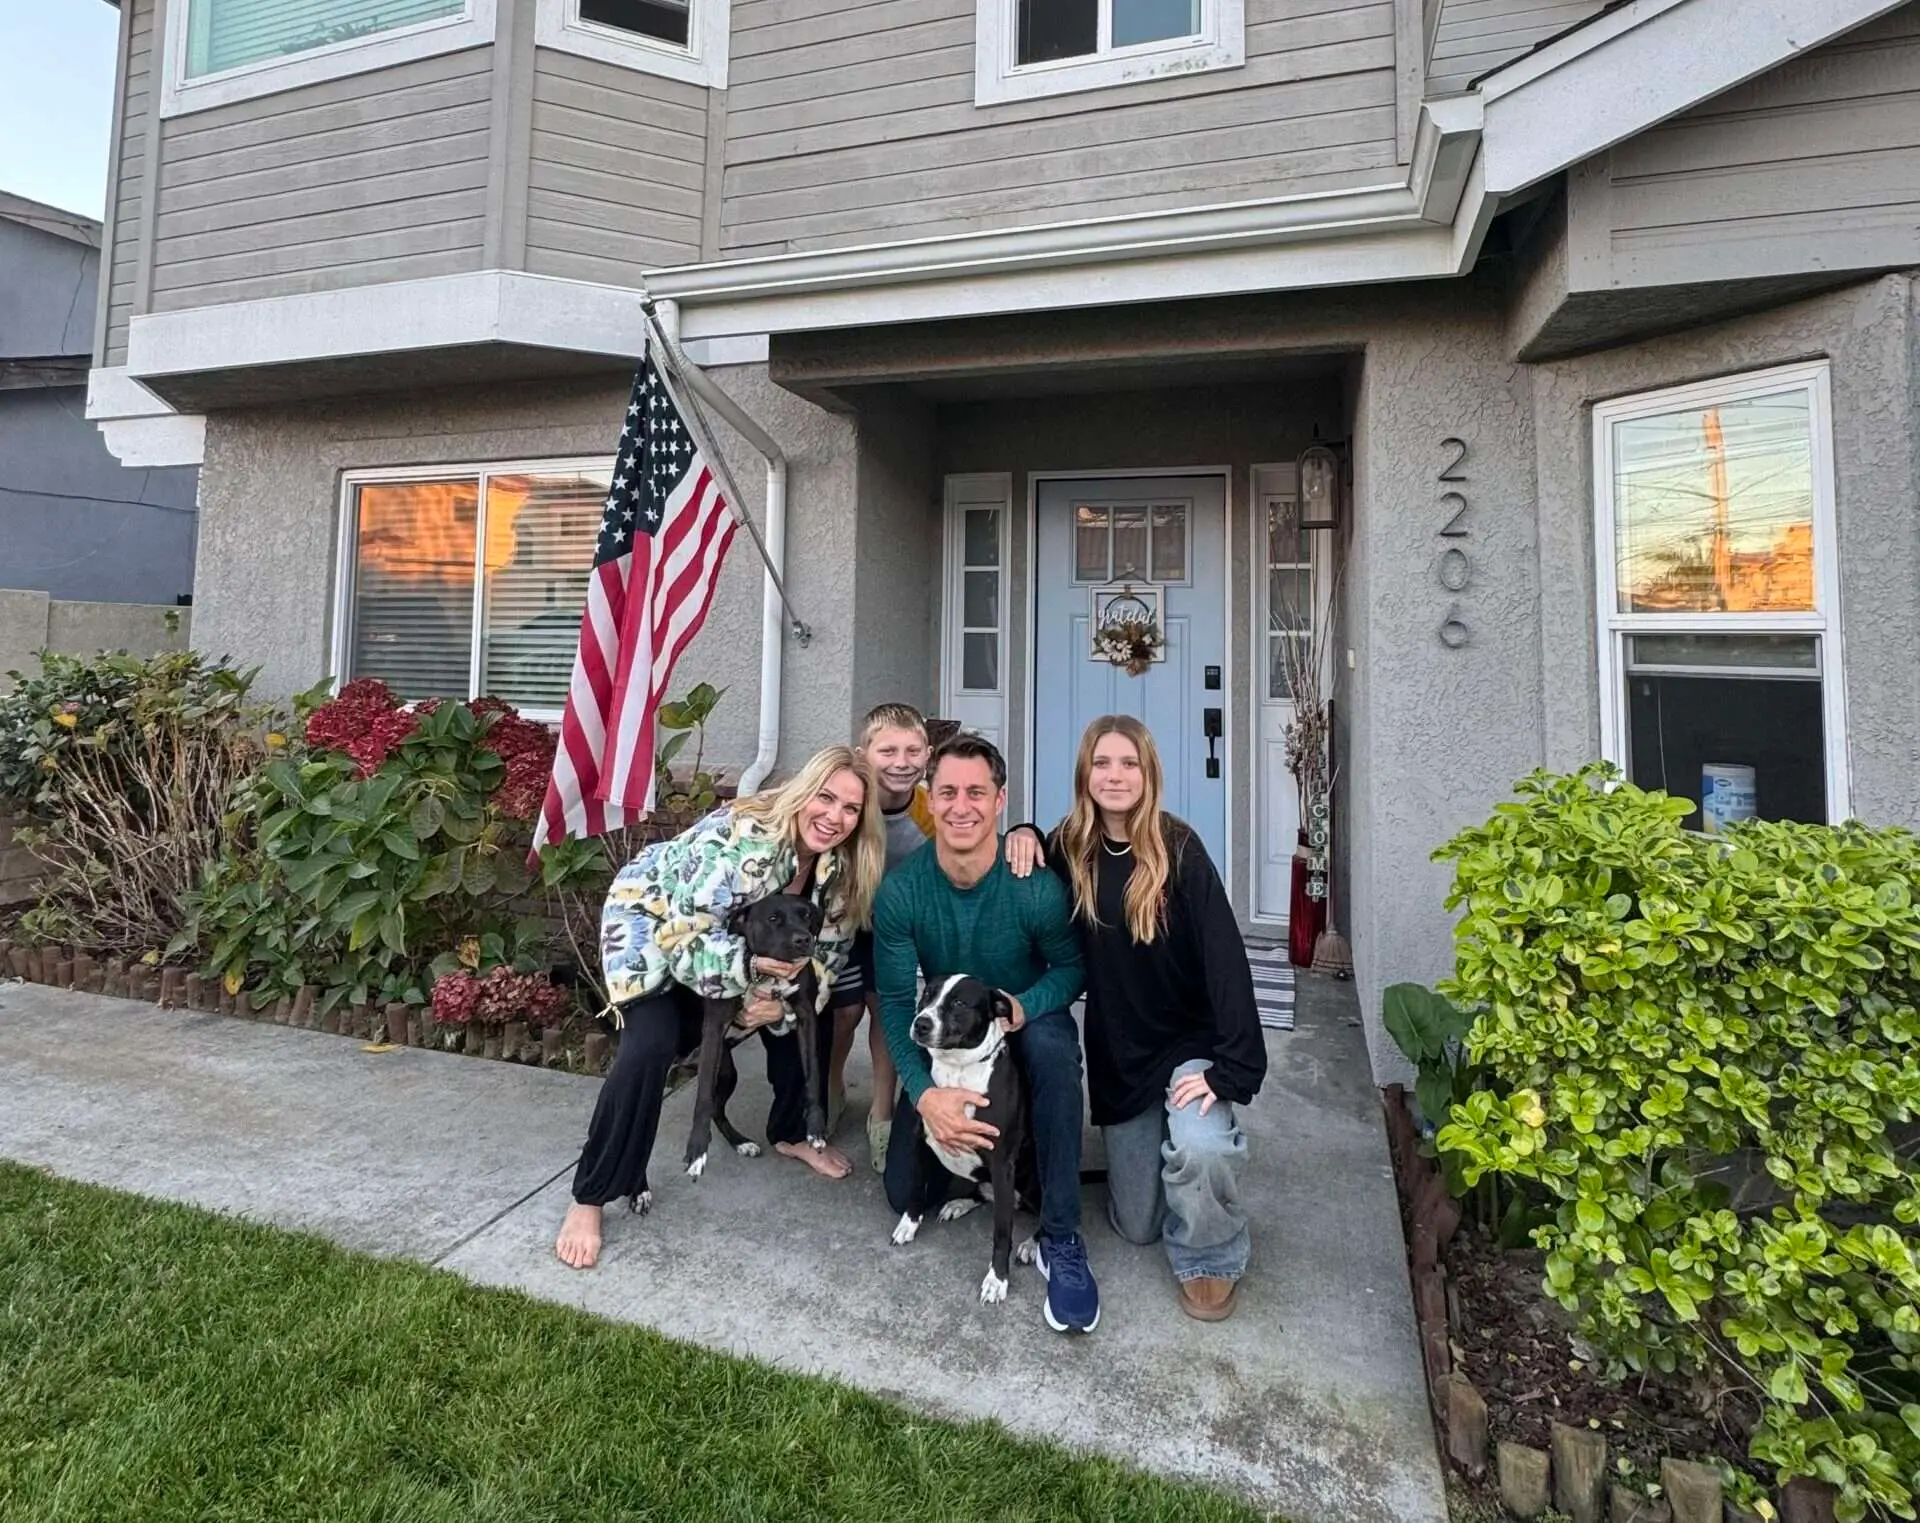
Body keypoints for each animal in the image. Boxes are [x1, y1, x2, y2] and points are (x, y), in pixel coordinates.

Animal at [683, 898, 825, 1183]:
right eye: (773, 919)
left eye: (806, 915)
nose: (803, 940)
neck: (765, 974)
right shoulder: (715, 1028)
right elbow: (703, 1096)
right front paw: (697, 1149)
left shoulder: (806, 1015)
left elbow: (812, 1072)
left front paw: (815, 1125)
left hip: (727, 1073)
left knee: (718, 1110)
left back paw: (741, 1143)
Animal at [887, 979, 1036, 1298]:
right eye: (927, 995)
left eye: (959, 1003)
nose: (921, 1024)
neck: (957, 1069)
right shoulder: (920, 1142)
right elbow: (915, 1189)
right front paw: (909, 1224)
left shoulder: (1002, 1164)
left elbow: (1002, 1230)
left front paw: (997, 1279)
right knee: (982, 1192)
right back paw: (958, 1204)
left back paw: (1034, 1243)